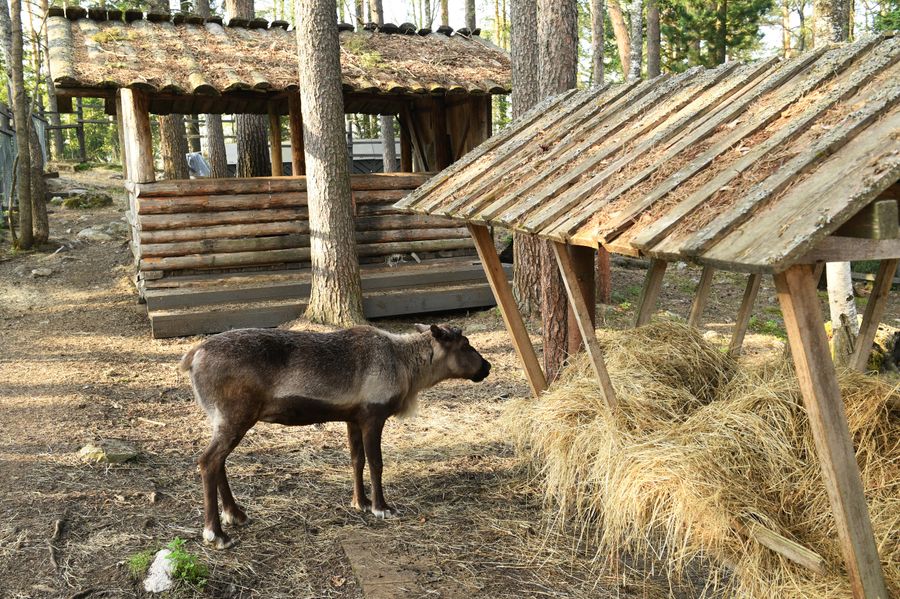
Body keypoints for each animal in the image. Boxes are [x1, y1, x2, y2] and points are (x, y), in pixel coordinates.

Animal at [179, 323, 491, 549]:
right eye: (465, 344)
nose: (487, 367)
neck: (405, 367)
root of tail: (192, 356)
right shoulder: (374, 416)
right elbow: (376, 464)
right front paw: (381, 507)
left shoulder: (353, 419)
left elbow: (356, 461)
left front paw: (360, 502)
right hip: (236, 416)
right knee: (208, 461)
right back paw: (216, 533)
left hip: (223, 420)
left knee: (218, 462)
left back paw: (236, 514)